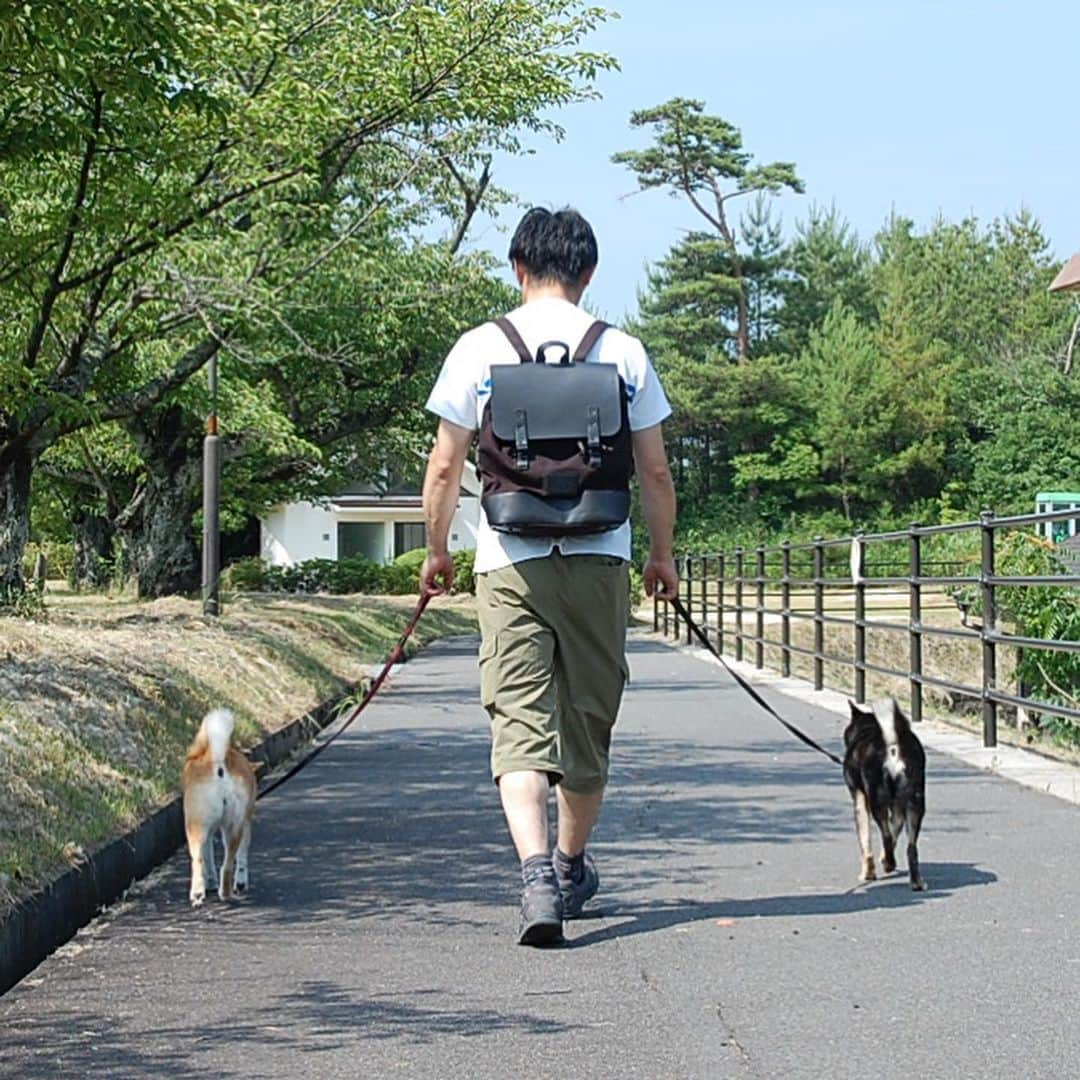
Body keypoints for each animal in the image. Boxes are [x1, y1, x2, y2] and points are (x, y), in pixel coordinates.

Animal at [842, 695, 928, 889]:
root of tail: (893, 745)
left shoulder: (859, 798)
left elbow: (865, 841)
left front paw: (867, 873)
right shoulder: (897, 806)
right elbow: (895, 829)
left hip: (877, 800)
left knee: (887, 836)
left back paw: (890, 865)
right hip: (915, 801)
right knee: (911, 847)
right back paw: (915, 881)